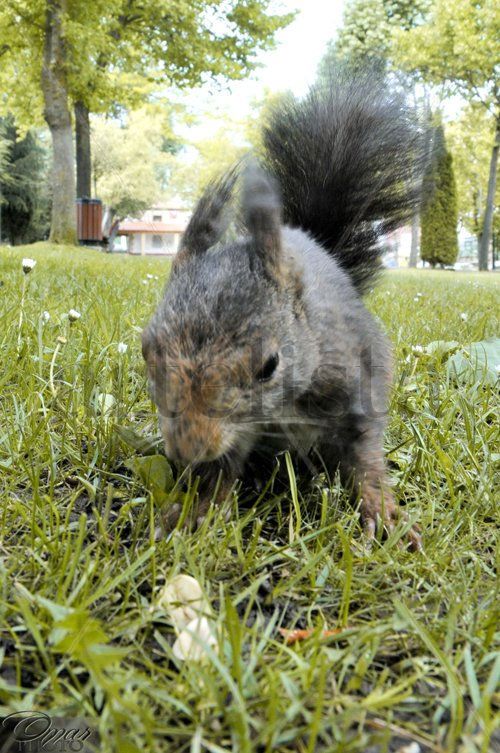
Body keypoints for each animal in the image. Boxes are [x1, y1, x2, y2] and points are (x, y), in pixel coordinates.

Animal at [142, 70, 423, 550]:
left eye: (269, 365)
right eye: (147, 349)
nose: (188, 450)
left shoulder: (355, 385)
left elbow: (365, 453)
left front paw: (382, 511)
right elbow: (222, 470)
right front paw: (197, 509)